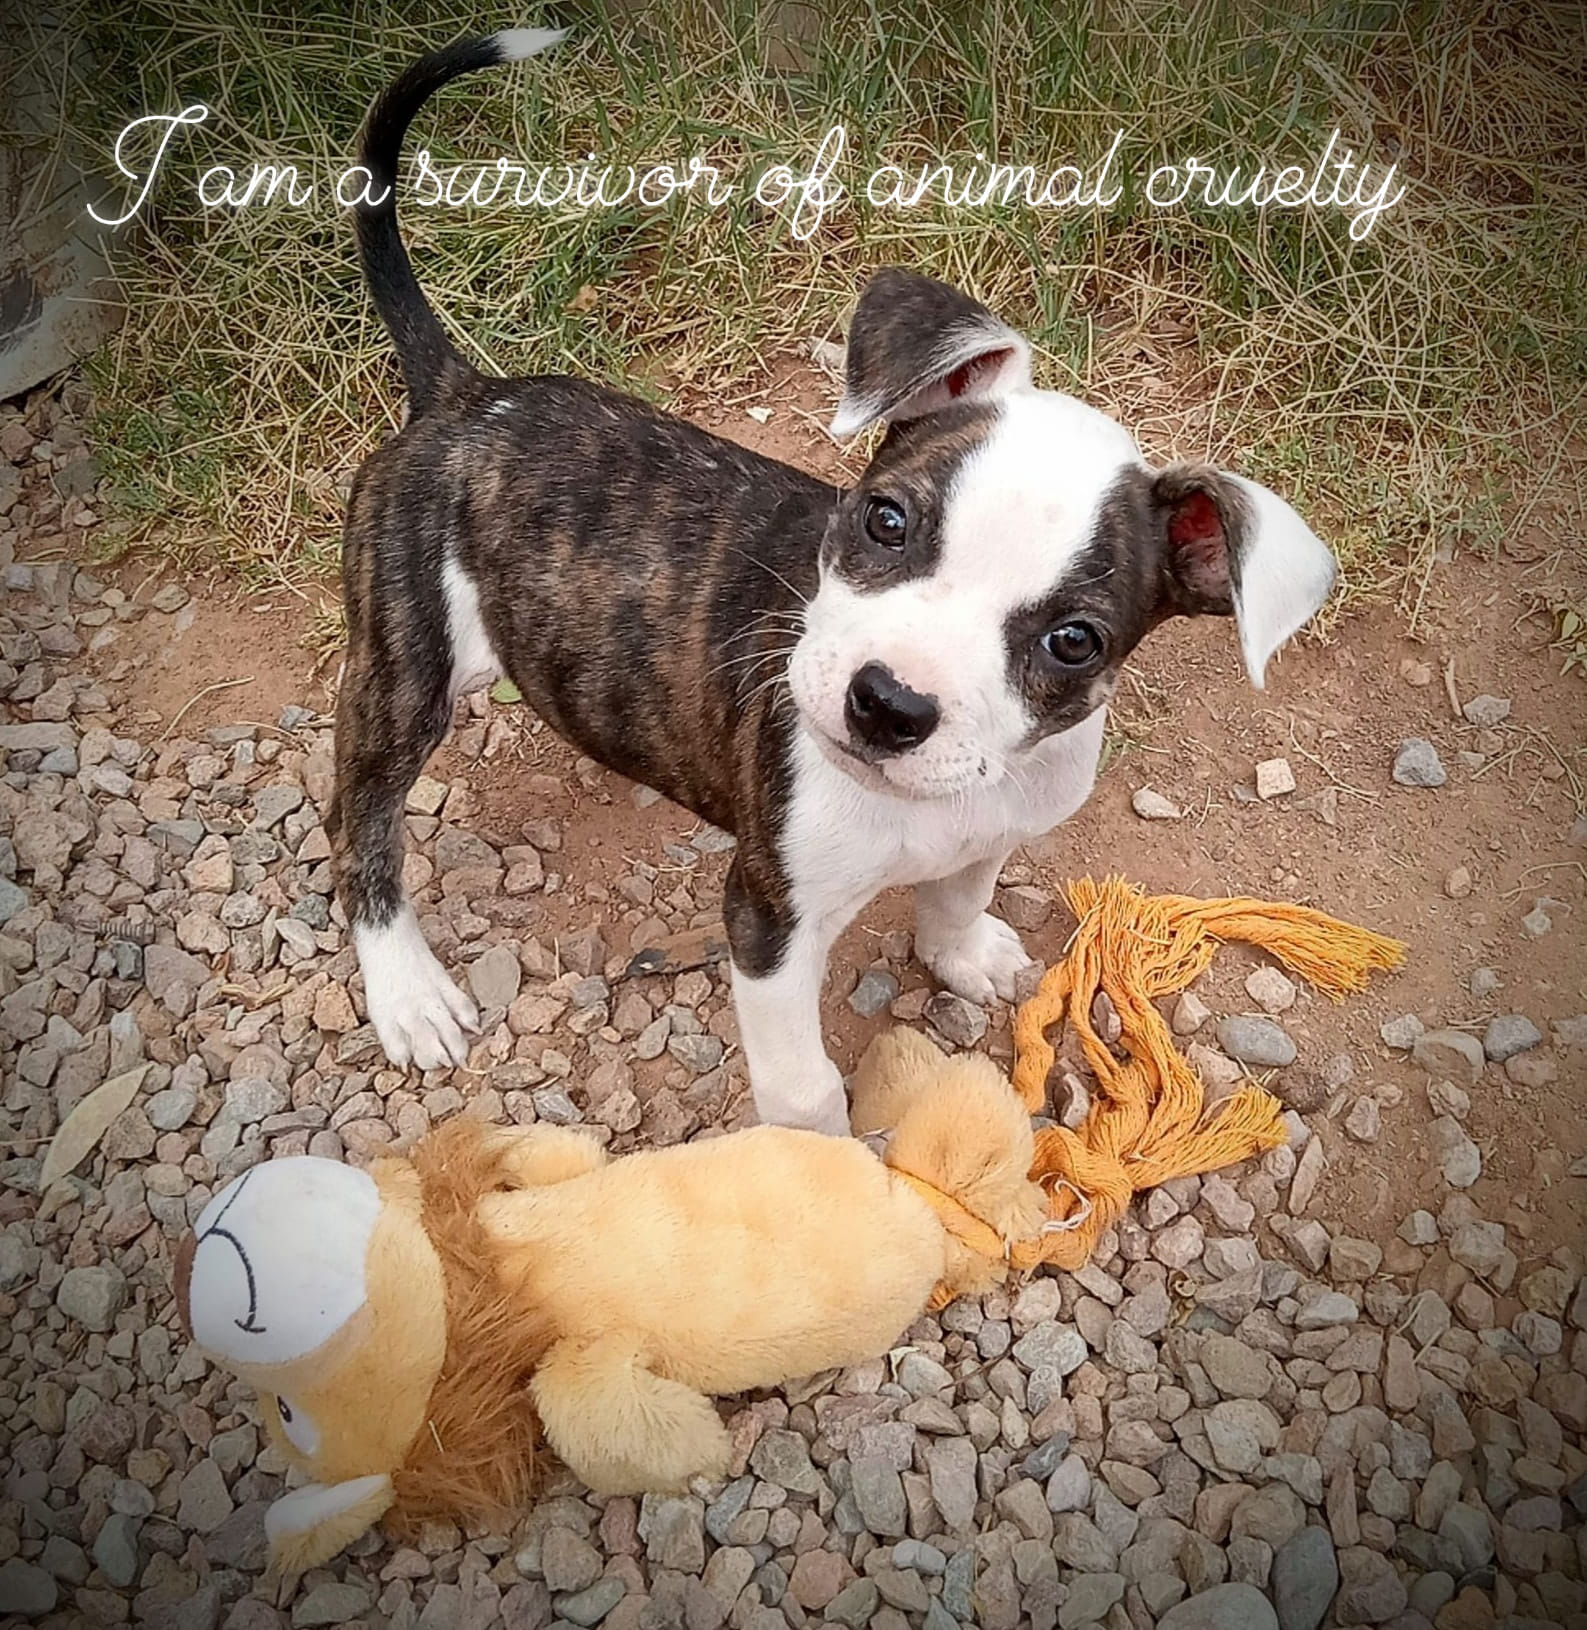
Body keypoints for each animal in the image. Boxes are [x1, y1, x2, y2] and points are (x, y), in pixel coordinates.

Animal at [332, 28, 1342, 1134]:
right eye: (885, 520)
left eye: (1073, 641)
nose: (889, 704)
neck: (922, 804)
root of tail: (467, 396)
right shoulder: (768, 915)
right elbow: (802, 1083)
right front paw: (826, 1154)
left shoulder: (991, 828)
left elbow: (958, 891)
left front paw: (960, 954)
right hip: (409, 665)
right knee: (360, 819)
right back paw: (406, 992)